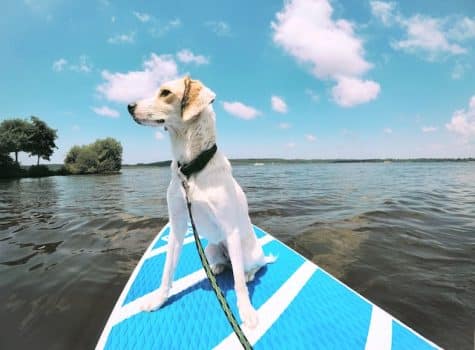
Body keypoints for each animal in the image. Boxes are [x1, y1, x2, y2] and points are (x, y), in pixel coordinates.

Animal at [127, 74, 276, 328]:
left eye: (165, 92)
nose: (129, 106)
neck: (191, 169)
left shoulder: (230, 228)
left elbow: (237, 282)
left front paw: (246, 311)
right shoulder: (177, 224)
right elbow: (167, 270)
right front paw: (158, 300)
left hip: (246, 252)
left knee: (251, 267)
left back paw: (249, 273)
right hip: (211, 247)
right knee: (227, 264)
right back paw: (216, 267)